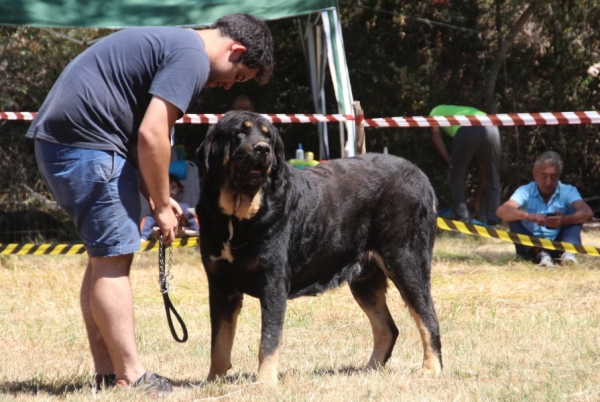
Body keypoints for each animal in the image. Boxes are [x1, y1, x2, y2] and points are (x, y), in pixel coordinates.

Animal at [196, 110, 440, 386]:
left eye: (268, 136)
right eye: (240, 132)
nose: (263, 148)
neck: (237, 218)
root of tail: (421, 177)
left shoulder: (272, 284)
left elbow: (268, 340)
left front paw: (265, 383)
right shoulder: (220, 286)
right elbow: (219, 341)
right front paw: (212, 382)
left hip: (406, 263)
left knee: (428, 318)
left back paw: (430, 369)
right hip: (365, 280)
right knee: (388, 328)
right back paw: (369, 370)